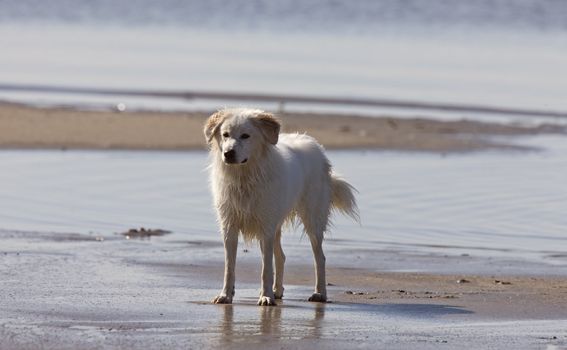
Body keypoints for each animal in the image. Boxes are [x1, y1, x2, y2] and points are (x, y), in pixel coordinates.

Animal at [204, 107, 358, 306]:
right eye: (225, 135)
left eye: (245, 136)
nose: (228, 153)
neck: (244, 177)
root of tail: (315, 145)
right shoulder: (229, 225)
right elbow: (229, 267)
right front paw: (225, 295)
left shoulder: (266, 228)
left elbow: (266, 268)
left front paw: (265, 296)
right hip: (277, 221)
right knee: (282, 256)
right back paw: (278, 291)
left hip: (312, 219)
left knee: (320, 258)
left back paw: (319, 293)